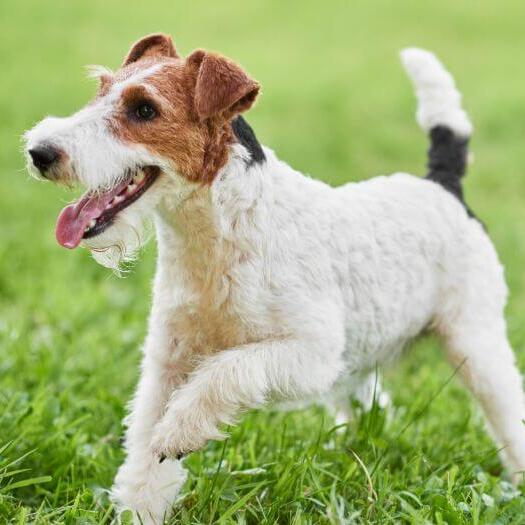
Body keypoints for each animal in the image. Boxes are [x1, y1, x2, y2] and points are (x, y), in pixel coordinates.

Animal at [23, 34, 524, 520]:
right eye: (101, 89)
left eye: (144, 109)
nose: (39, 152)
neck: (218, 233)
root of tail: (443, 185)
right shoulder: (168, 361)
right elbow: (145, 456)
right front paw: (138, 508)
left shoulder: (309, 353)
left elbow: (225, 372)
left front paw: (181, 432)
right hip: (364, 351)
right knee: (372, 406)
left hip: (473, 339)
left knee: (507, 409)